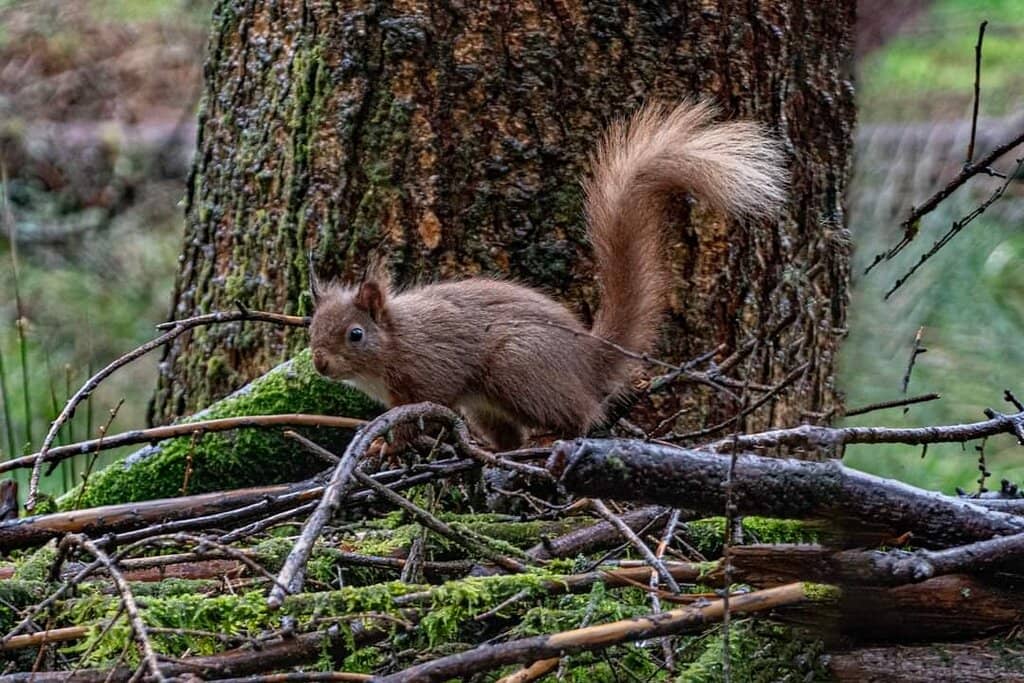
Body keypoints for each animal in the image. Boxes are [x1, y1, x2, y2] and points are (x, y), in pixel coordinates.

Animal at [309, 100, 787, 450]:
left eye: (355, 334)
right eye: (311, 328)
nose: (319, 363)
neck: (395, 339)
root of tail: (589, 363)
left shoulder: (429, 371)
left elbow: (421, 411)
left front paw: (394, 444)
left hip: (516, 367)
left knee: (581, 417)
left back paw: (548, 439)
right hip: (487, 404)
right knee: (511, 434)